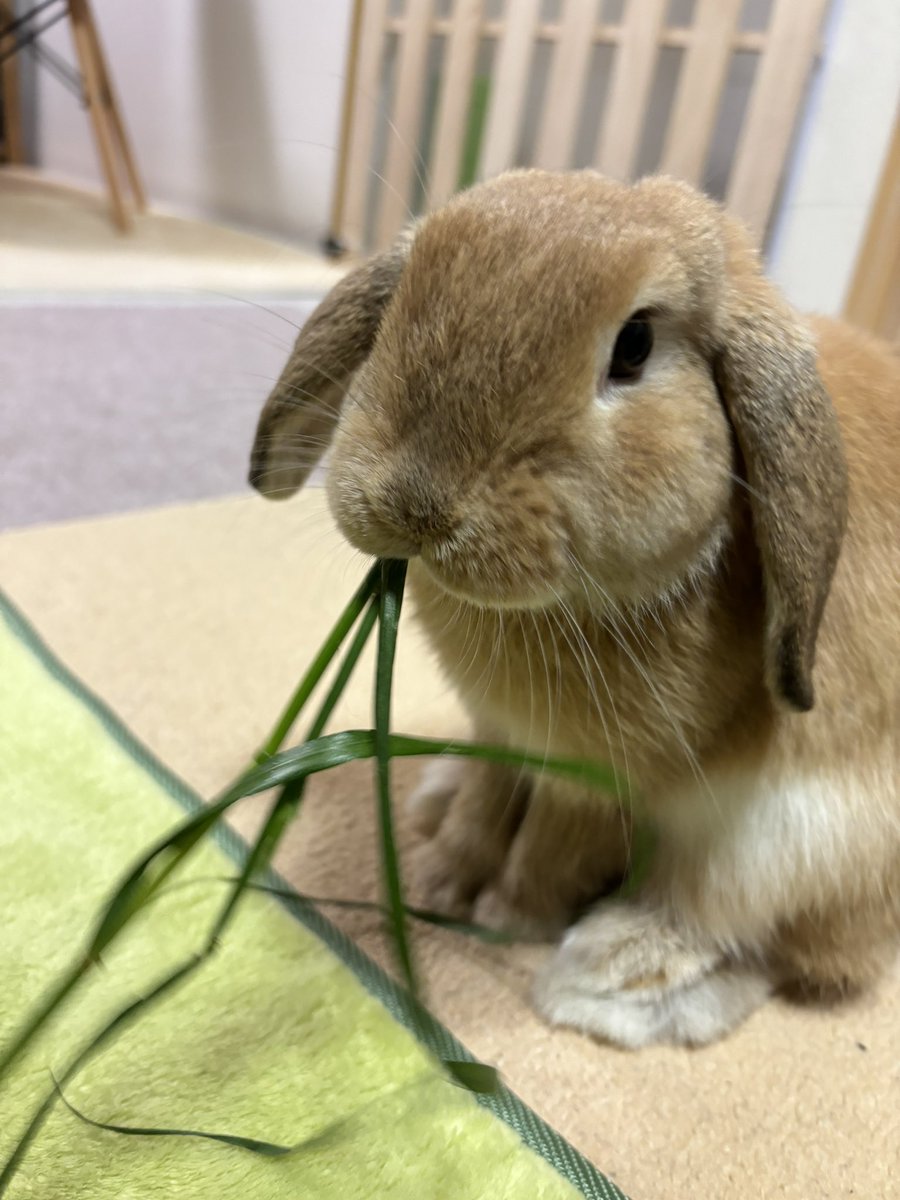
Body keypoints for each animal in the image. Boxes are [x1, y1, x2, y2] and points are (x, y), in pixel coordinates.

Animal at [248, 171, 900, 1051]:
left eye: (635, 347)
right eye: (408, 290)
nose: (416, 506)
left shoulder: (598, 781)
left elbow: (552, 849)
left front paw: (505, 917)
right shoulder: (500, 735)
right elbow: (487, 806)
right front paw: (439, 883)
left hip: (791, 839)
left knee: (773, 943)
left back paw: (604, 976)